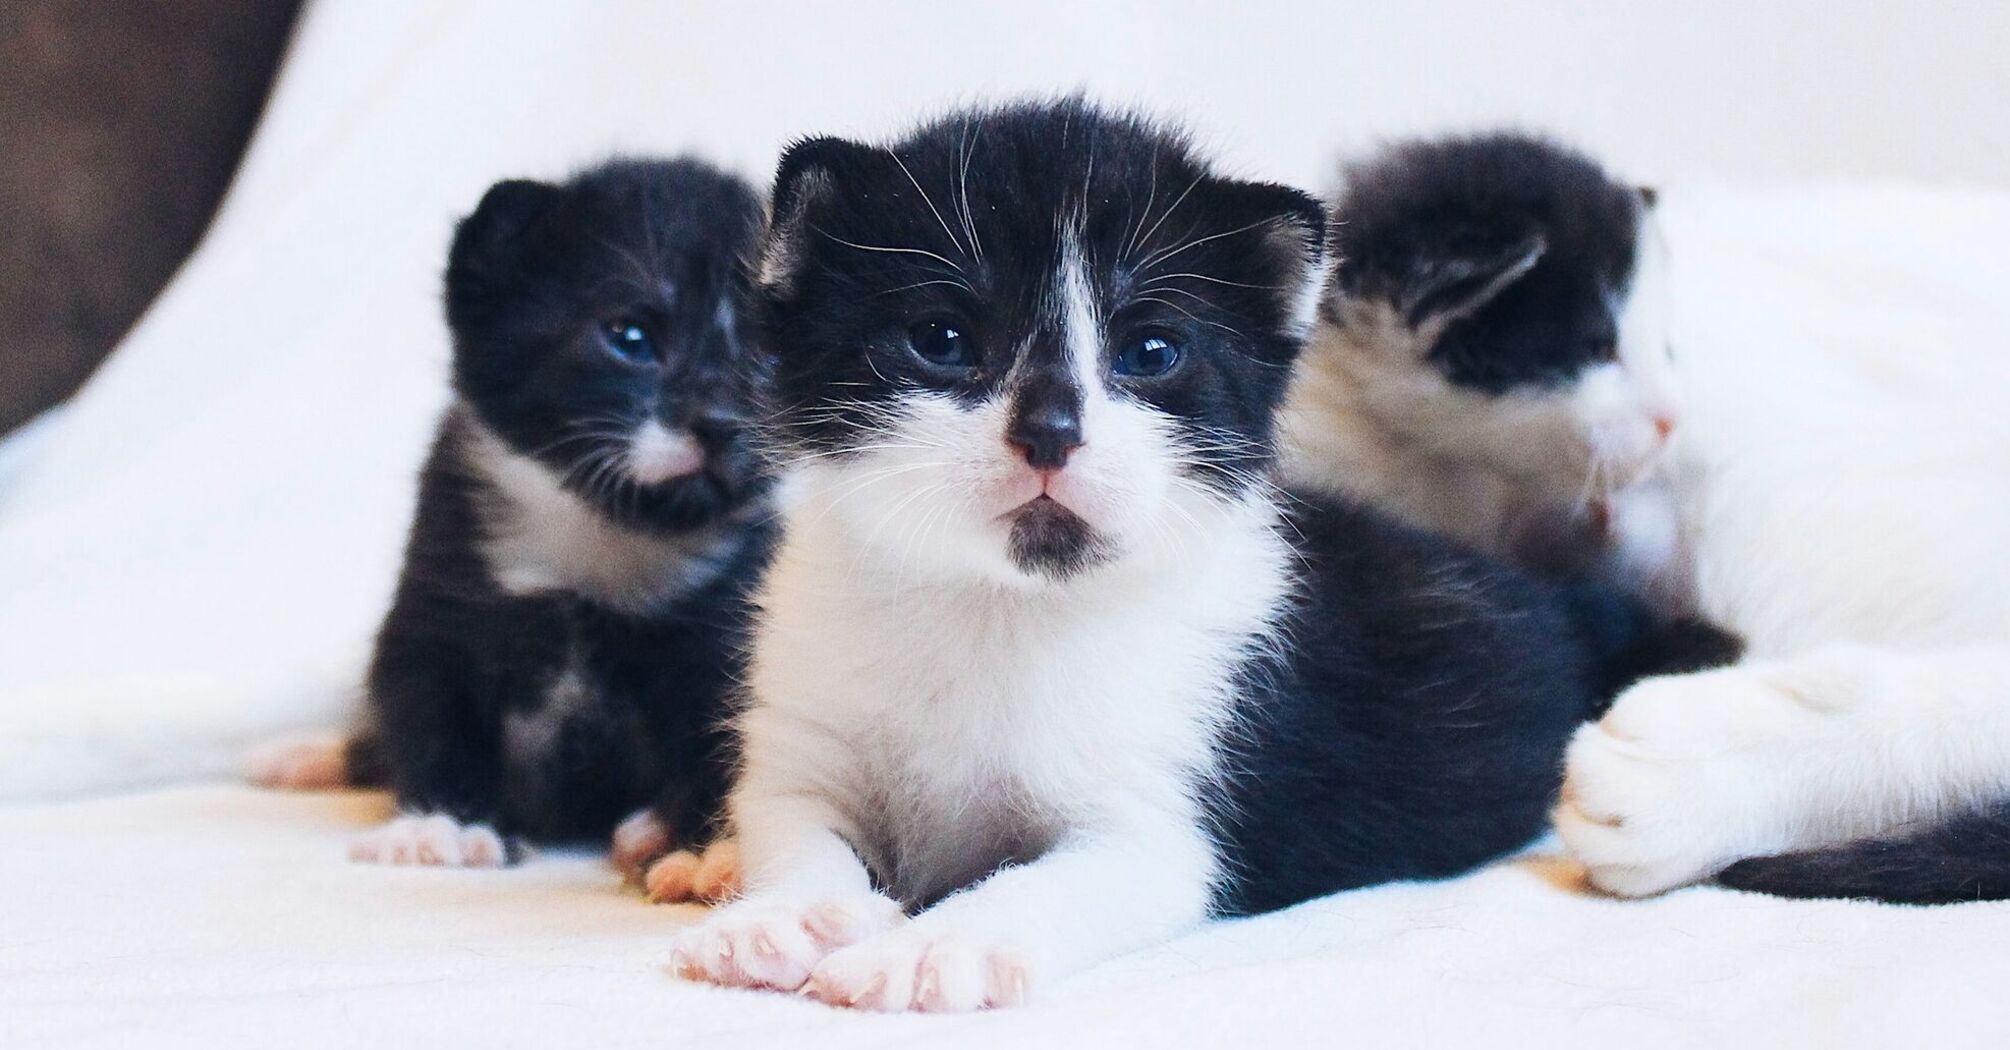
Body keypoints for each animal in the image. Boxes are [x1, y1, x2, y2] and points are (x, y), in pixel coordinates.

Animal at [341, 154, 763, 889]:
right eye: (630, 337)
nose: (722, 423)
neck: (598, 534)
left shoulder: (726, 628)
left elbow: (727, 740)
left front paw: (703, 848)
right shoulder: (436, 601)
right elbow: (428, 712)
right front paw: (440, 824)